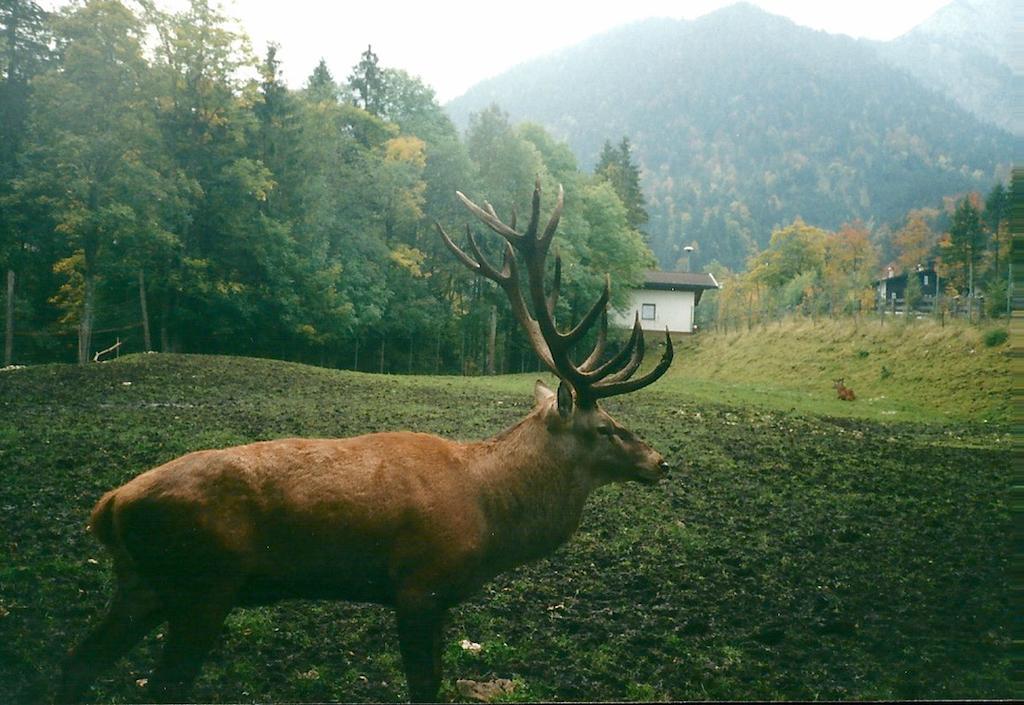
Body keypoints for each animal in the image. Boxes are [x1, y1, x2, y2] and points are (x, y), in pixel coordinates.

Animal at [59, 183, 675, 705]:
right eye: (605, 427)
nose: (660, 461)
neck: (490, 515)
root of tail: (108, 506)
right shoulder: (419, 587)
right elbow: (424, 687)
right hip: (202, 584)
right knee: (158, 682)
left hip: (143, 585)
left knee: (77, 661)